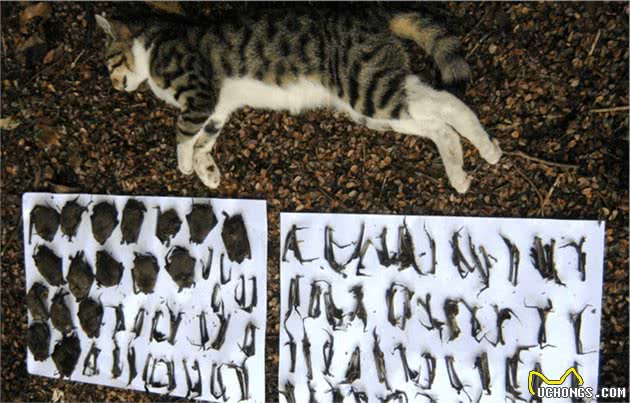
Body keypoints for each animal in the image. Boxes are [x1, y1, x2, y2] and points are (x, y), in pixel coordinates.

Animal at [95, 8, 502, 194]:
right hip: (377, 105)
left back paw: (482, 154)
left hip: (369, 89)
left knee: (446, 106)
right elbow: (203, 141)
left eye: (109, 62)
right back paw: (465, 169)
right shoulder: (218, 108)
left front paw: (182, 165)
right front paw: (207, 171)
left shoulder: (200, 94)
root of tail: (374, 16)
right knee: (440, 122)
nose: (115, 86)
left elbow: (183, 133)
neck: (152, 45)